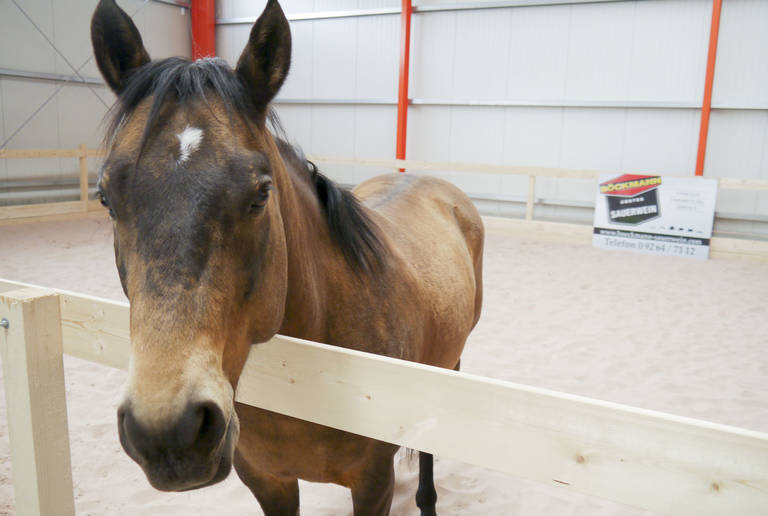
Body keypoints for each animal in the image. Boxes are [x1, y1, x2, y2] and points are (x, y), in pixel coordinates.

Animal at [93, 1, 484, 512]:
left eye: (261, 194)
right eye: (105, 197)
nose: (167, 432)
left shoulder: (372, 482)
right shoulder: (267, 480)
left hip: (449, 365)